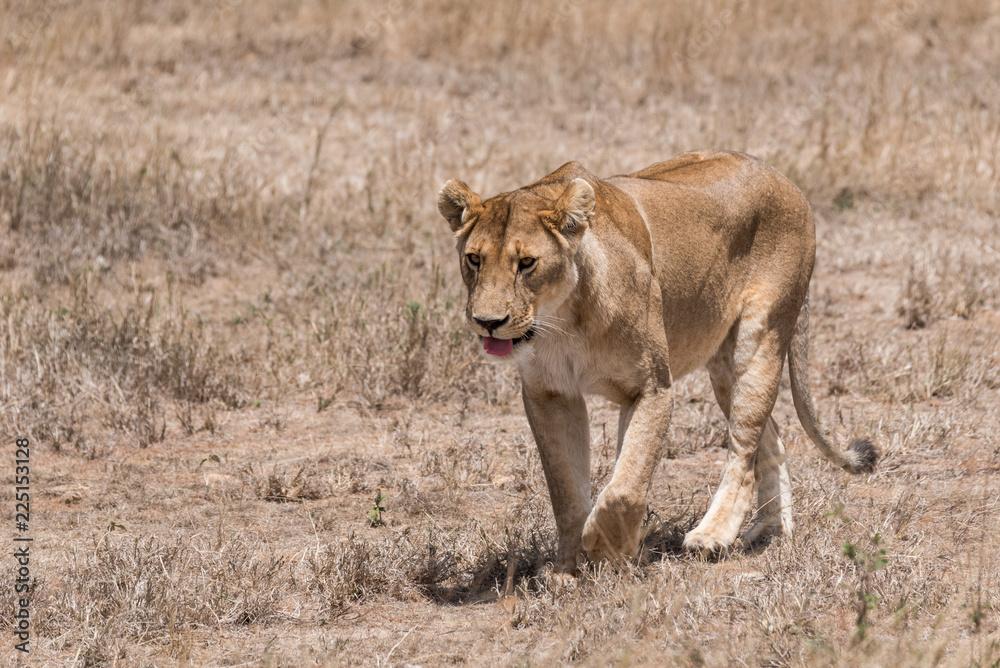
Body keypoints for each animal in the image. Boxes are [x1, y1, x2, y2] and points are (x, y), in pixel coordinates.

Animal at [437, 151, 878, 573]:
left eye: (526, 263)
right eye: (474, 259)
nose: (487, 322)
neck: (564, 320)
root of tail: (784, 179)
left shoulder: (651, 387)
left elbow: (627, 482)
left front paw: (608, 547)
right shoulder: (550, 394)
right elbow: (566, 488)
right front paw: (568, 566)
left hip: (758, 339)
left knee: (744, 448)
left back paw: (714, 535)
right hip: (722, 366)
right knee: (769, 440)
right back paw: (772, 530)